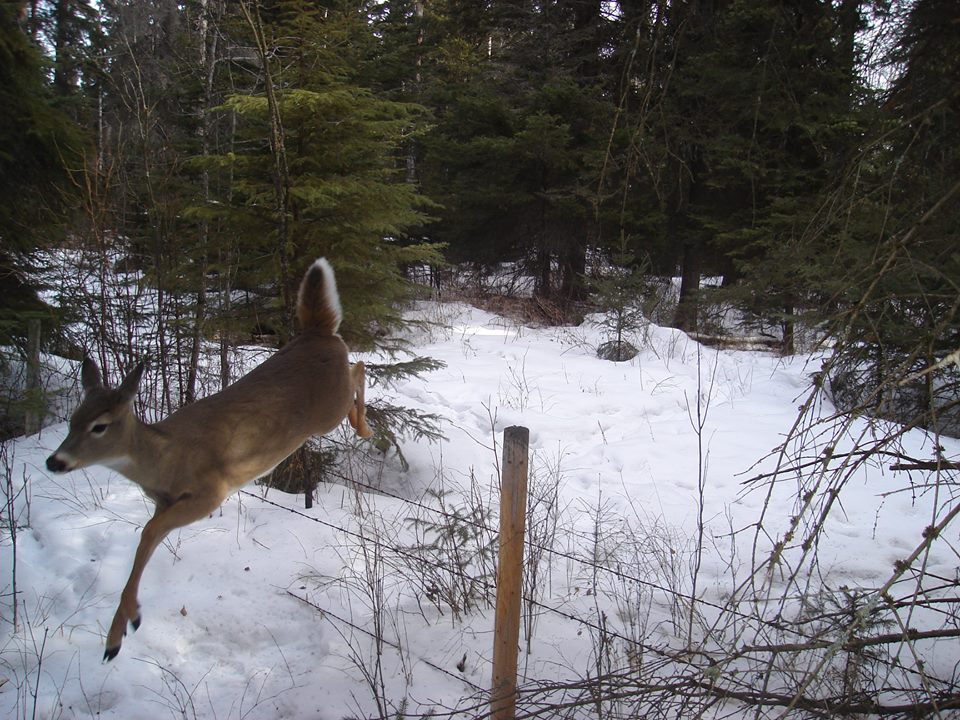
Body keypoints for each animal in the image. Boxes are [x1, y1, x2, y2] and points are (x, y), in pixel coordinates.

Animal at [47, 258, 374, 660]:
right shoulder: (164, 502)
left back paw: (365, 427)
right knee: (358, 365)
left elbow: (147, 531)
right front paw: (122, 626)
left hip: (329, 409)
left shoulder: (210, 492)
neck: (165, 458)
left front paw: (118, 632)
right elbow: (147, 540)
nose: (55, 461)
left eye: (100, 426)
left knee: (359, 367)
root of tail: (316, 332)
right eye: (73, 421)